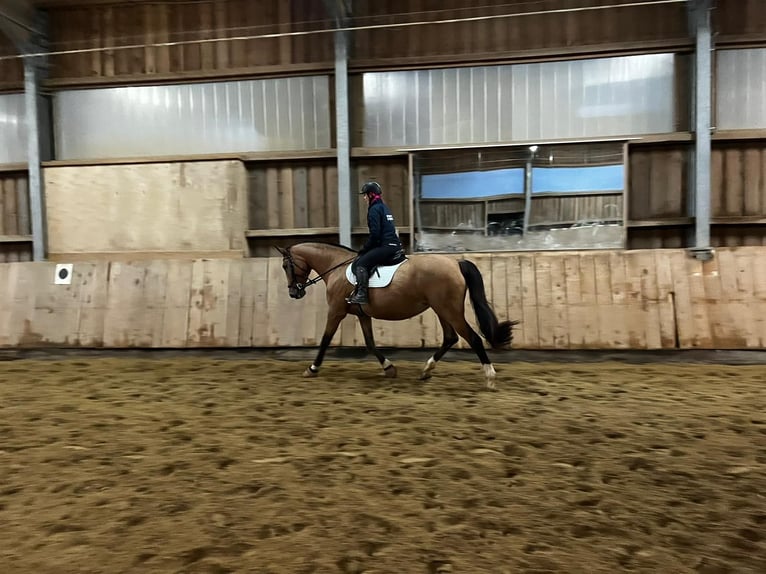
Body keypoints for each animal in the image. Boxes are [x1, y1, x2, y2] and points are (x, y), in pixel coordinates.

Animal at [275, 242, 518, 389]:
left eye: (286, 265)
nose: (294, 292)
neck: (335, 268)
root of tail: (456, 262)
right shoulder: (362, 314)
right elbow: (370, 343)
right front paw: (389, 368)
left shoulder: (336, 311)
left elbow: (325, 340)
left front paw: (312, 369)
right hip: (441, 309)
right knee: (450, 337)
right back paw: (426, 370)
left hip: (449, 310)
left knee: (473, 338)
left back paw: (490, 377)